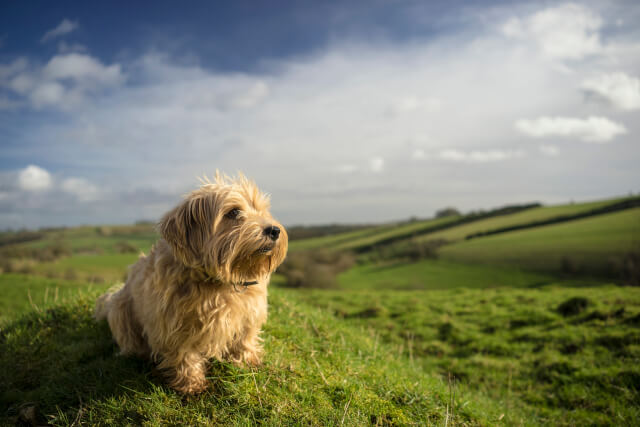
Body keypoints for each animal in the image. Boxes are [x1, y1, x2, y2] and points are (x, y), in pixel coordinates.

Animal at [94, 173, 288, 394]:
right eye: (234, 212)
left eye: (262, 210)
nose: (274, 230)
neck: (218, 283)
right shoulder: (175, 325)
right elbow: (184, 354)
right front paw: (191, 384)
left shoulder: (249, 315)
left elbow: (244, 339)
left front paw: (247, 362)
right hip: (120, 308)